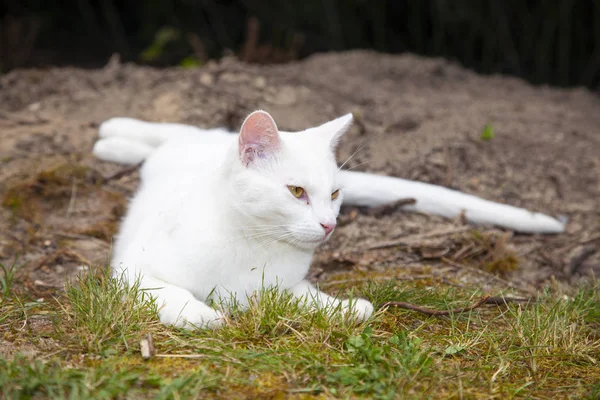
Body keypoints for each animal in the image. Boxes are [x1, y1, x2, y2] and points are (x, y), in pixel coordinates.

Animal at [91, 110, 564, 328]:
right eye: (296, 192)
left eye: (335, 194)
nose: (328, 225)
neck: (251, 241)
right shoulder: (131, 269)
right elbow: (168, 293)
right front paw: (204, 315)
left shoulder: (280, 286)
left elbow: (304, 297)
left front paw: (348, 308)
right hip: (182, 143)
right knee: (166, 131)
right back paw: (113, 135)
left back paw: (114, 142)